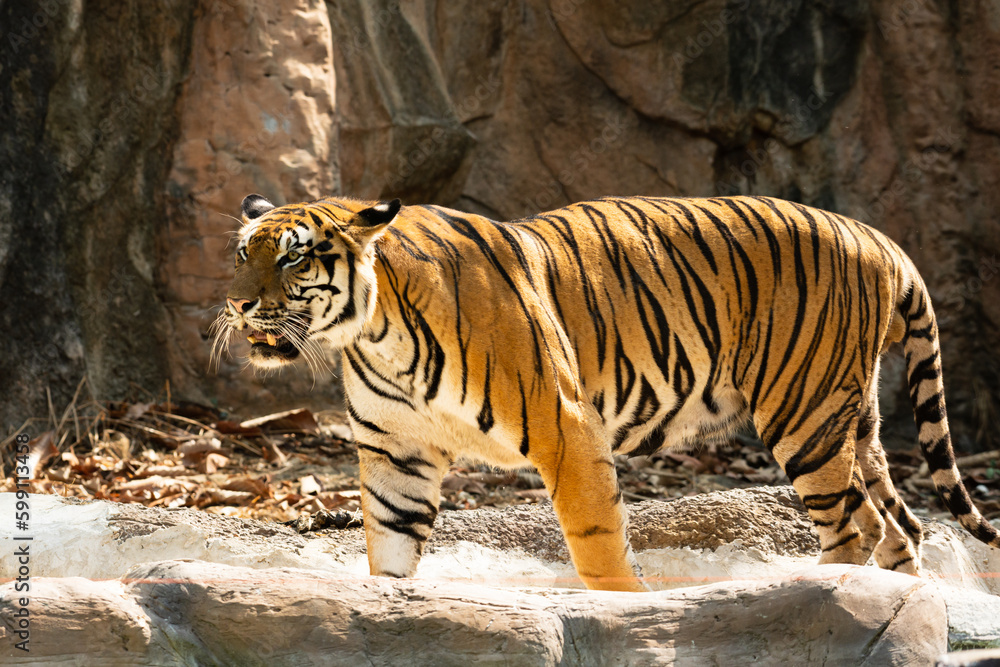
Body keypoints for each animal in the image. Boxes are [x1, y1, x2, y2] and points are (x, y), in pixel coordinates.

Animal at [217, 192, 1000, 592]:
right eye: (244, 251)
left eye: (292, 258)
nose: (237, 303)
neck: (376, 330)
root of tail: (880, 238)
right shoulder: (396, 454)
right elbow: (390, 548)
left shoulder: (566, 425)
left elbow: (597, 543)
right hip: (851, 416)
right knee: (902, 525)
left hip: (802, 412)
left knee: (854, 527)